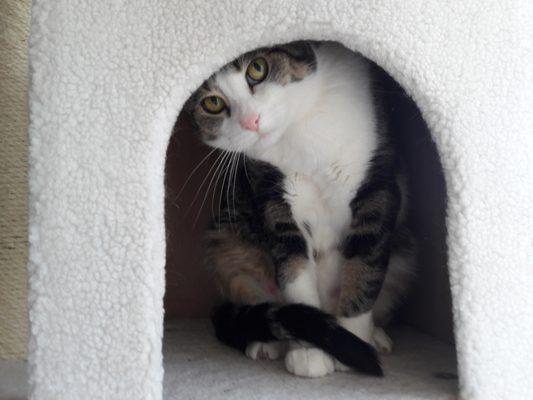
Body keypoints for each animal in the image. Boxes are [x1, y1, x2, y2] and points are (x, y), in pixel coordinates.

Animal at [185, 40, 414, 378]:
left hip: (405, 257)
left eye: (258, 68)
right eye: (212, 103)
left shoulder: (376, 187)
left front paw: (354, 341)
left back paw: (376, 336)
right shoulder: (271, 193)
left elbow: (364, 267)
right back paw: (267, 342)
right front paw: (312, 350)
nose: (251, 121)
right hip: (225, 241)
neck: (298, 134)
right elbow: (293, 267)